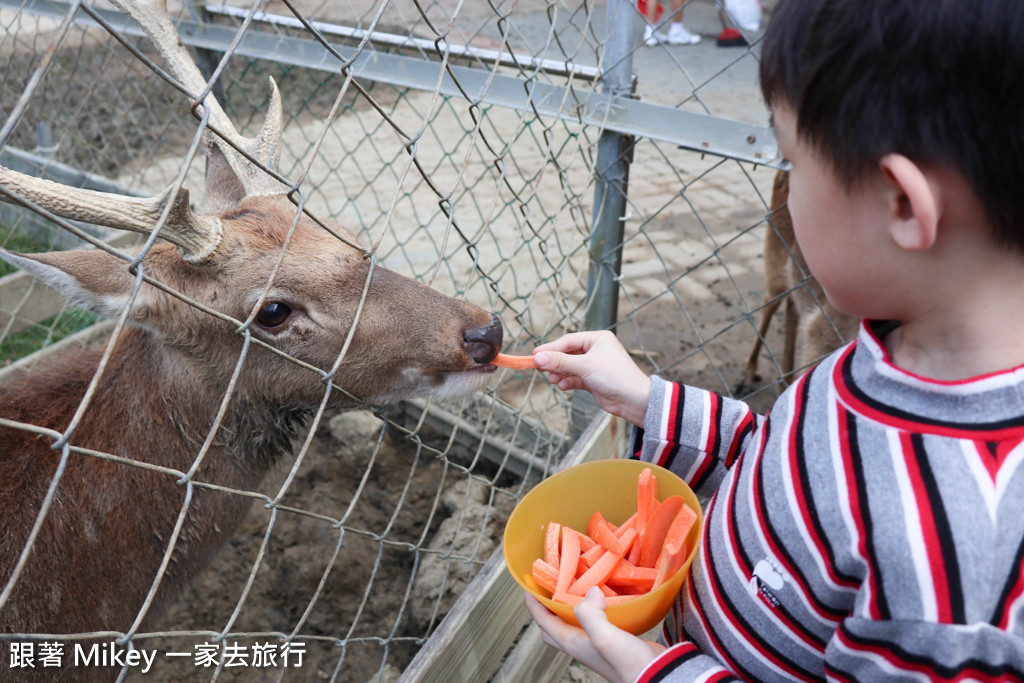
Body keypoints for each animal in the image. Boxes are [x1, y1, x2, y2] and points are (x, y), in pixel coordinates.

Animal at [741, 172, 860, 389]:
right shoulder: (826, 329)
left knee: (792, 307)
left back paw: (785, 379)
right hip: (774, 251)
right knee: (770, 301)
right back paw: (749, 372)